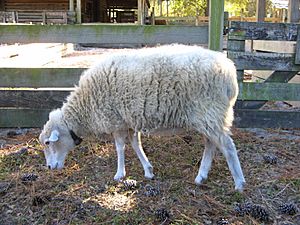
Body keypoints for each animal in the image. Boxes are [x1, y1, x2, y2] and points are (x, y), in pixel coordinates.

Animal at [39, 44, 246, 192]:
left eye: (48, 143)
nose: (49, 167)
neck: (85, 107)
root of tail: (229, 71)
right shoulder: (130, 121)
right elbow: (135, 144)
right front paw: (148, 170)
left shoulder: (117, 121)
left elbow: (120, 147)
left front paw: (119, 174)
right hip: (207, 117)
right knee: (211, 144)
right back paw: (201, 176)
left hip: (210, 112)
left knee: (227, 146)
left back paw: (239, 183)